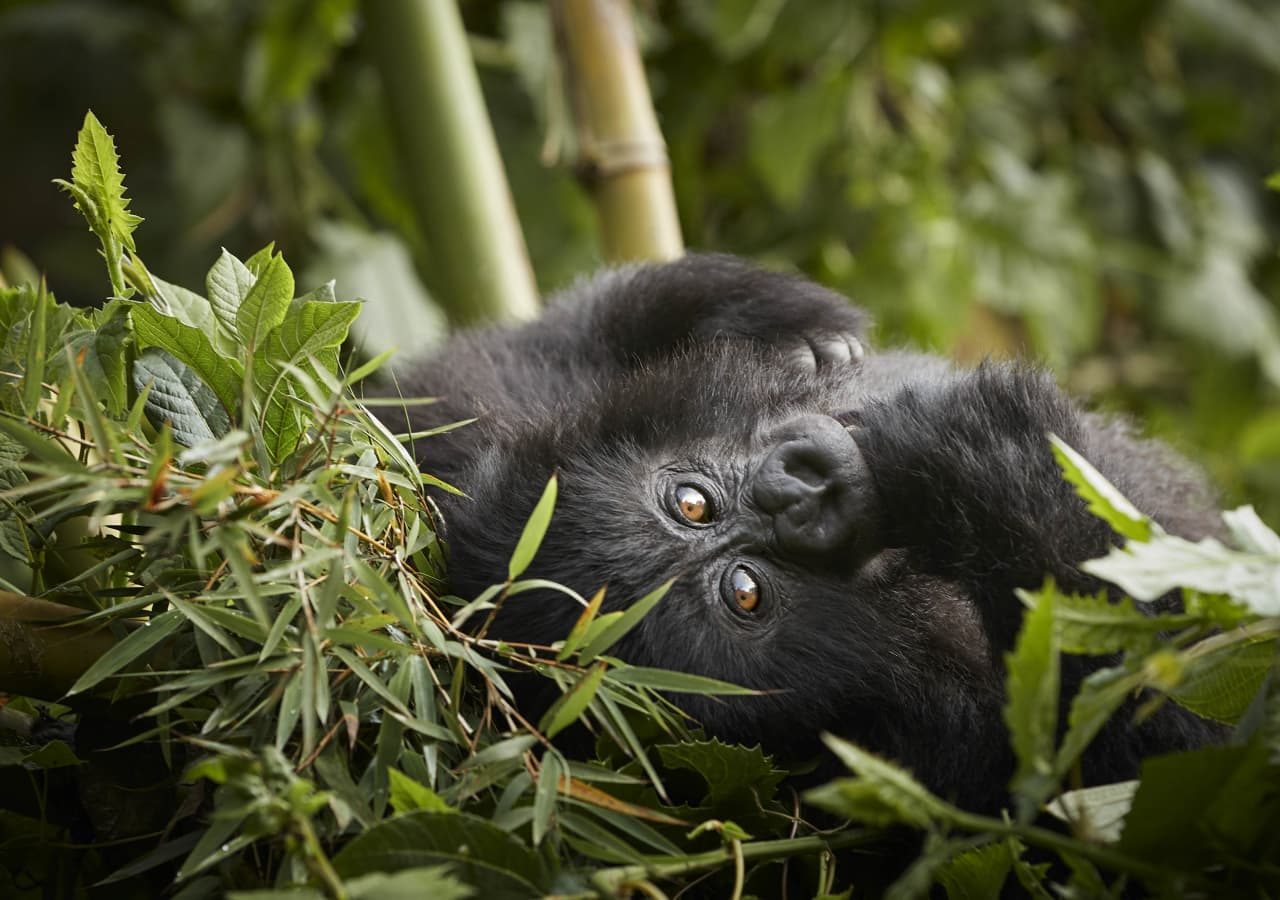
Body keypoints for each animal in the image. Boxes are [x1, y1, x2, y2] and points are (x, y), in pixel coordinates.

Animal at [378, 252, 1218, 809]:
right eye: (746, 593)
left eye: (691, 503)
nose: (799, 497)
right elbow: (1134, 746)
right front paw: (979, 465)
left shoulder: (482, 409)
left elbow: (560, 333)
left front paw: (765, 320)